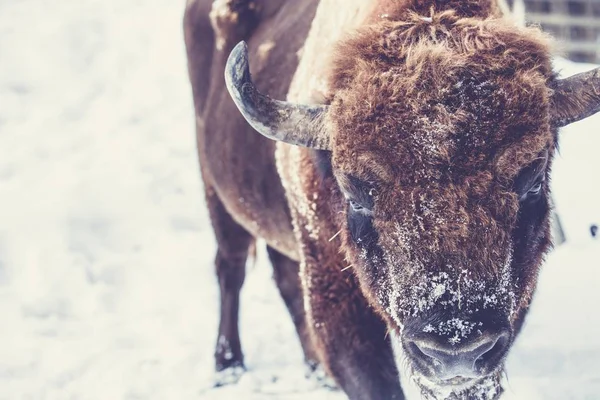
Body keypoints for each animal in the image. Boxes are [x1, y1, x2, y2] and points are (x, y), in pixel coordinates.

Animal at [183, 0, 600, 400]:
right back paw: (228, 365)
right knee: (231, 268)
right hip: (217, 194)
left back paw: (313, 371)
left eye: (532, 180)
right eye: (354, 193)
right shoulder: (334, 294)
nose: (455, 352)